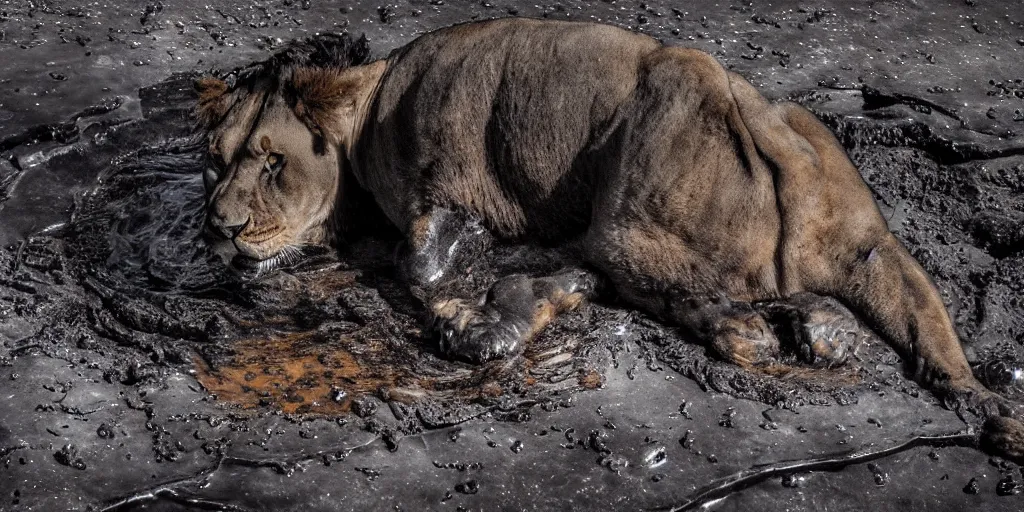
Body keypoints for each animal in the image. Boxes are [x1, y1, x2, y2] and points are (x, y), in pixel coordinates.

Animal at [195, 17, 1019, 460]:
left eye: (272, 161)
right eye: (214, 156)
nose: (219, 226)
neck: (369, 108)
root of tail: (757, 127)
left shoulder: (451, 189)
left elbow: (420, 267)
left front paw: (473, 316)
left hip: (638, 186)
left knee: (724, 318)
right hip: (852, 231)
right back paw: (841, 335)